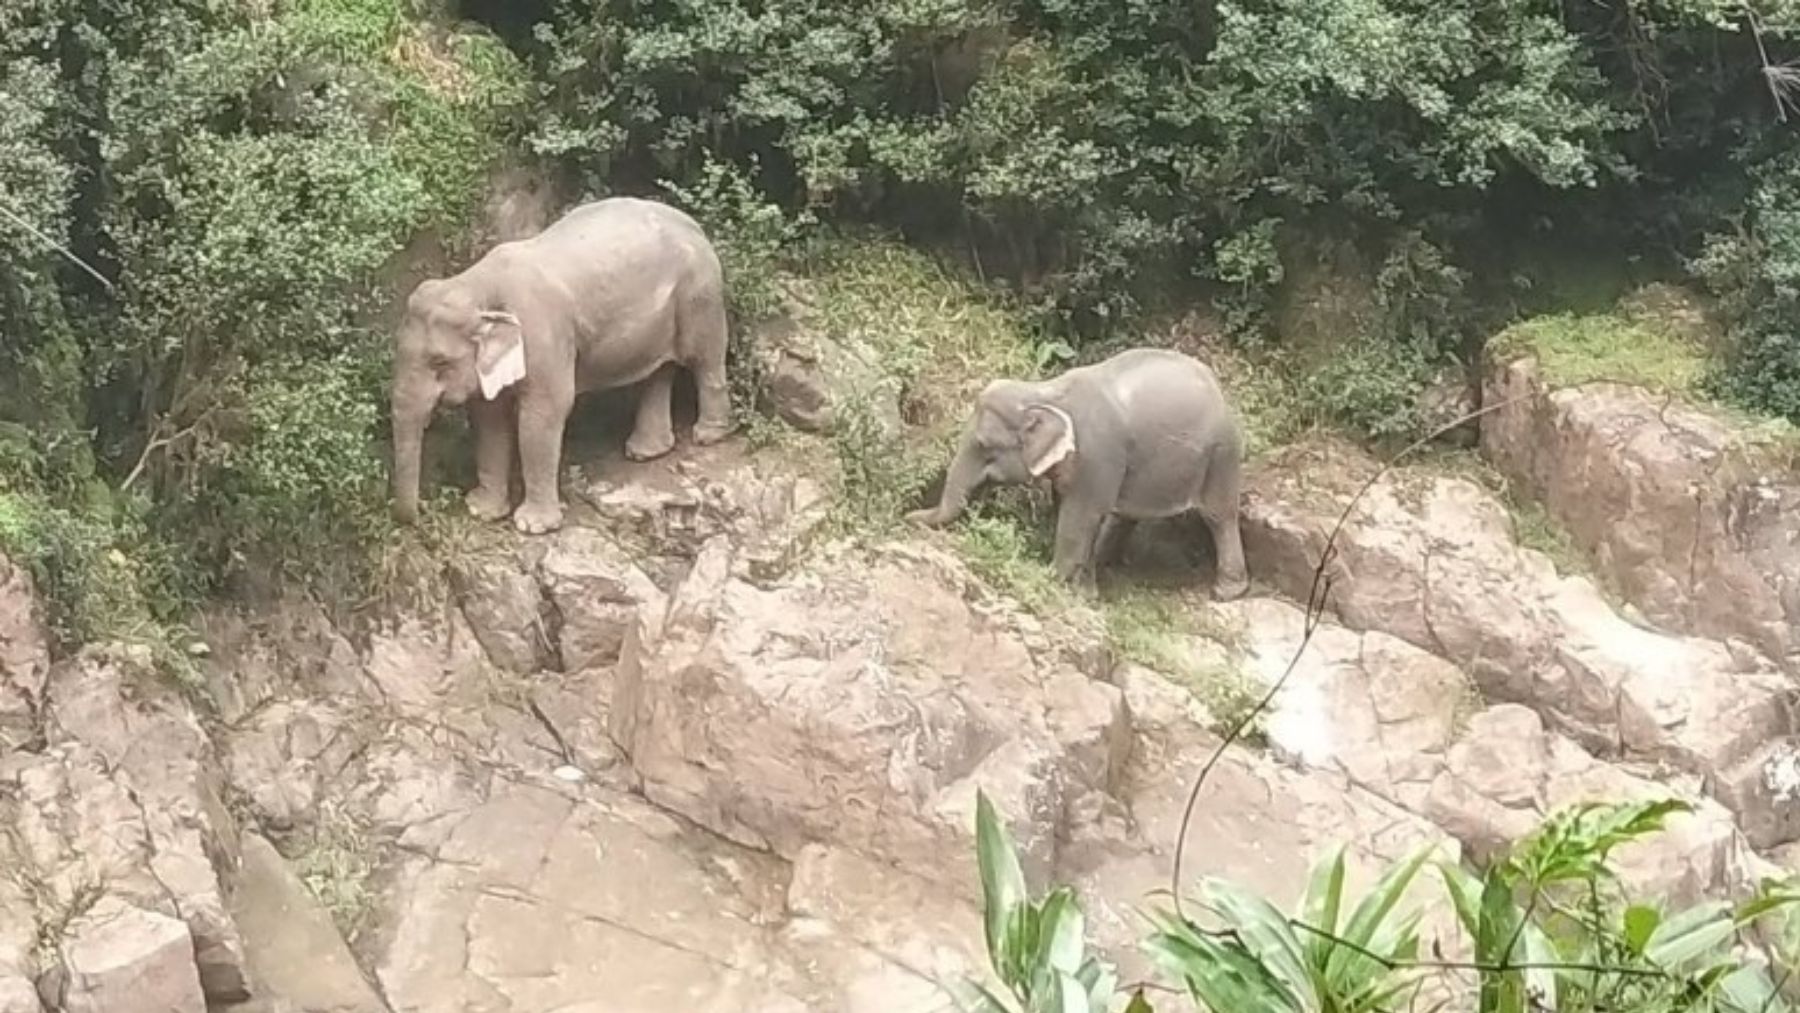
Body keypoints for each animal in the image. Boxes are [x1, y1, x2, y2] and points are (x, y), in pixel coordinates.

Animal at [390, 193, 734, 536]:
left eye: (439, 361)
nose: (420, 515)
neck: (476, 285)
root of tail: (693, 224)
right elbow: (488, 418)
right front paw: (482, 511)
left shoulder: (545, 337)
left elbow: (542, 415)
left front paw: (532, 526)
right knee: (658, 371)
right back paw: (645, 451)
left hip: (700, 292)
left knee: (705, 358)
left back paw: (708, 435)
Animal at [907, 349, 1245, 600]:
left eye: (983, 445)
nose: (908, 516)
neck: (1044, 392)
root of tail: (1219, 388)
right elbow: (1070, 509)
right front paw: (1085, 593)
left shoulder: (1096, 455)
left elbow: (1079, 516)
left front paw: (1055, 582)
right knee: (1126, 514)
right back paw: (1106, 562)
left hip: (1221, 455)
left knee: (1219, 516)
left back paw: (1225, 593)